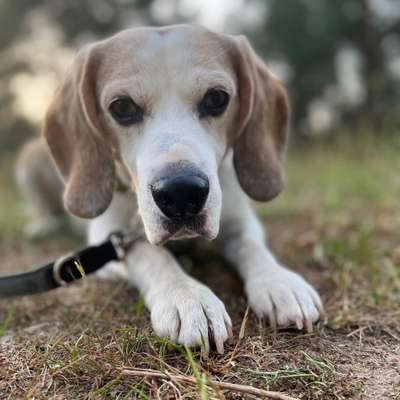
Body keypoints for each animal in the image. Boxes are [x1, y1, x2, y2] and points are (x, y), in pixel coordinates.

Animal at [17, 25, 326, 354]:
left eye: (217, 98)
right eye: (122, 107)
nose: (181, 193)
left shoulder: (239, 220)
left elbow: (252, 247)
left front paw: (279, 282)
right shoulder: (107, 240)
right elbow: (152, 255)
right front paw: (188, 296)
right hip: (27, 164)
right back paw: (43, 225)